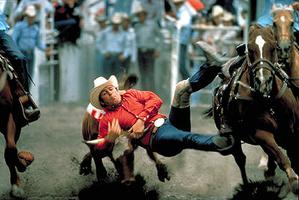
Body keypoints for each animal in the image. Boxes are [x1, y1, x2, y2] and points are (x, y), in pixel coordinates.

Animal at [209, 24, 299, 195]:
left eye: (273, 47)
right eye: (250, 49)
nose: (263, 81)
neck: (268, 99)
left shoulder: (292, 132)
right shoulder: (261, 133)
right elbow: (282, 157)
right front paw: (294, 181)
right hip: (234, 139)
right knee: (241, 160)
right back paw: (249, 187)